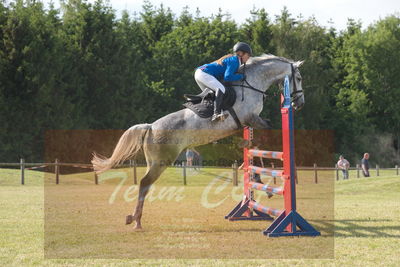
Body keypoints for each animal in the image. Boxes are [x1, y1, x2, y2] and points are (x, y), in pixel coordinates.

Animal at [91, 54, 304, 230]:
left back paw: (134, 219)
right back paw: (136, 220)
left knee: (145, 183)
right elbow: (262, 136)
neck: (252, 83)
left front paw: (256, 177)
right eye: (300, 78)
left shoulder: (246, 123)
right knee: (144, 183)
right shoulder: (250, 118)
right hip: (161, 162)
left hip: (154, 161)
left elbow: (254, 146)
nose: (298, 104)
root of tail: (150, 126)